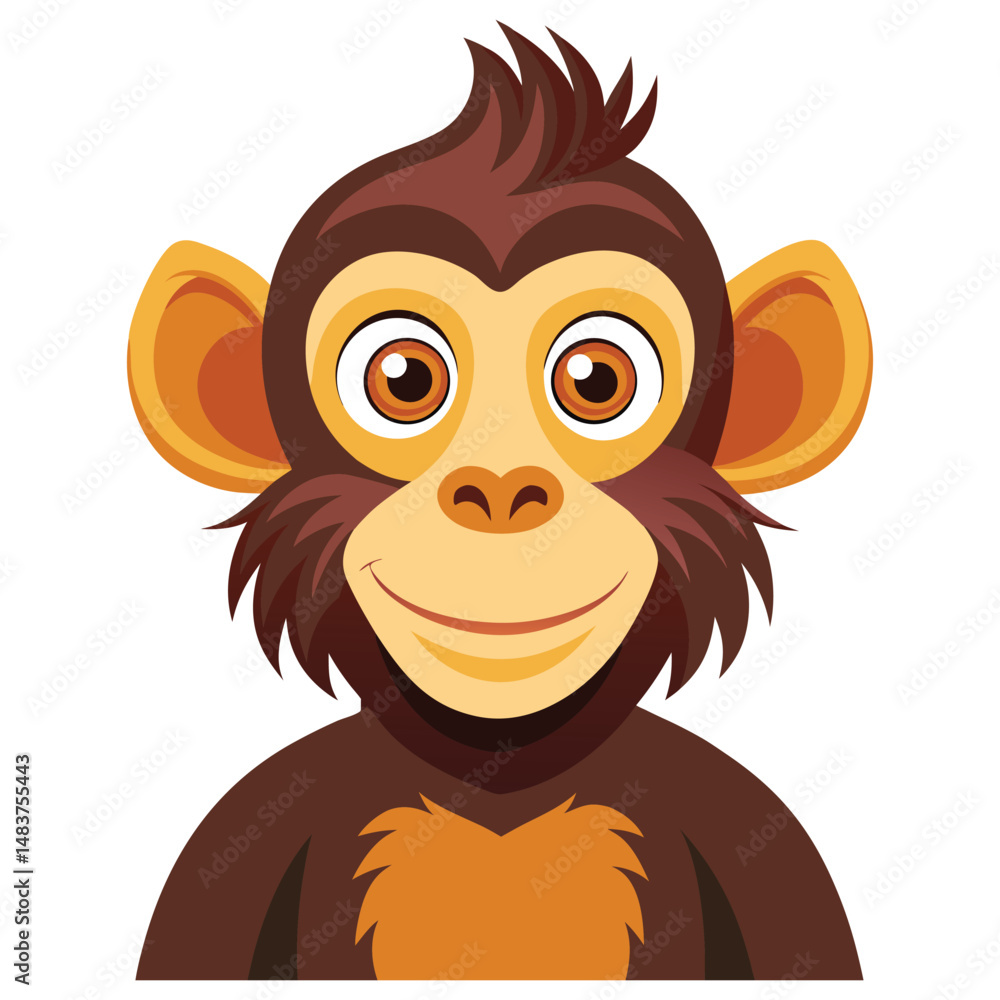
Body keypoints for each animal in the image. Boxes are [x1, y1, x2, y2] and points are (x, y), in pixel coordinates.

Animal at [128, 24, 869, 981]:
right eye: (405, 377)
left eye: (595, 379)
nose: (502, 491)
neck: (499, 776)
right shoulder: (229, 845)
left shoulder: (768, 837)